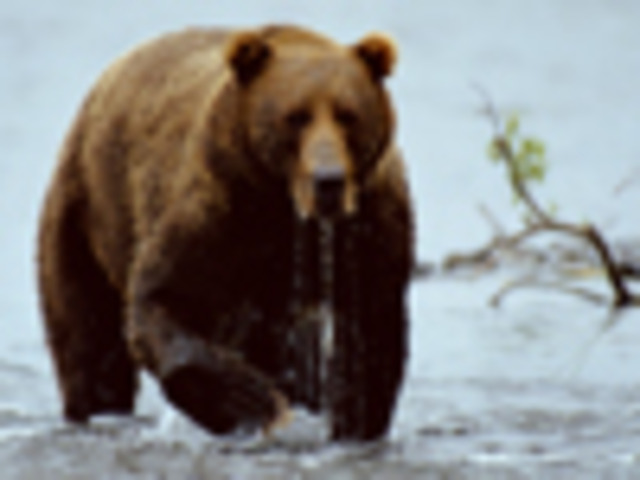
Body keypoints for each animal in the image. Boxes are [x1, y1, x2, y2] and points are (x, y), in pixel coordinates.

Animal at [37, 24, 413, 441]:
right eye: (295, 117)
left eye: (348, 115)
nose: (328, 181)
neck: (285, 209)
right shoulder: (219, 212)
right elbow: (162, 297)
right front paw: (254, 401)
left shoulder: (366, 227)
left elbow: (369, 333)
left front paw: (353, 423)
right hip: (87, 210)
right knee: (87, 335)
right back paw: (94, 409)